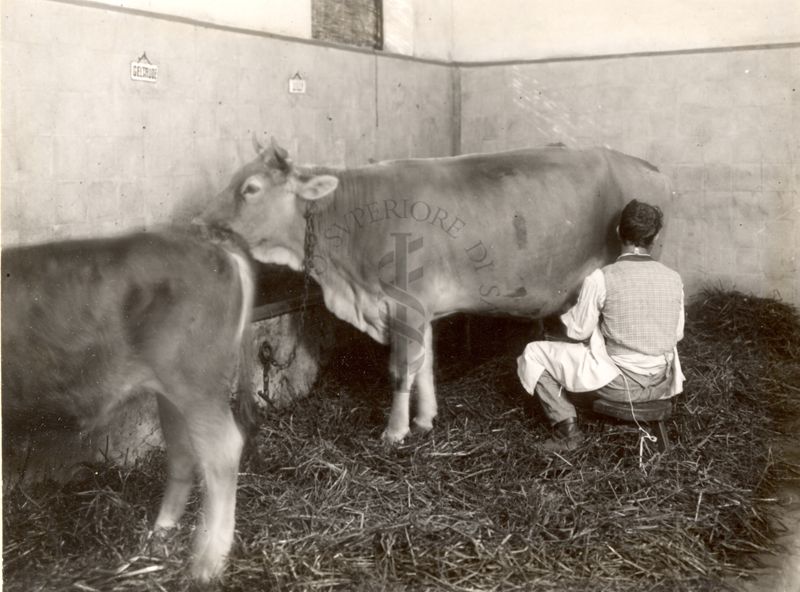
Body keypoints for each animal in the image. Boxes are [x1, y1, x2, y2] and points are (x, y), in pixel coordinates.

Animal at [0, 229, 256, 580]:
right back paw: (157, 539)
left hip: (197, 383)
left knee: (223, 452)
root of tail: (216, 247)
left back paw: (206, 566)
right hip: (172, 393)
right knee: (184, 454)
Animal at [202, 140, 676, 444]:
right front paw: (426, 420)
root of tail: (641, 163)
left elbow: (401, 369)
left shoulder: (403, 303)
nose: (201, 222)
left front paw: (394, 432)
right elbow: (424, 365)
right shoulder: (420, 308)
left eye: (250, 188)